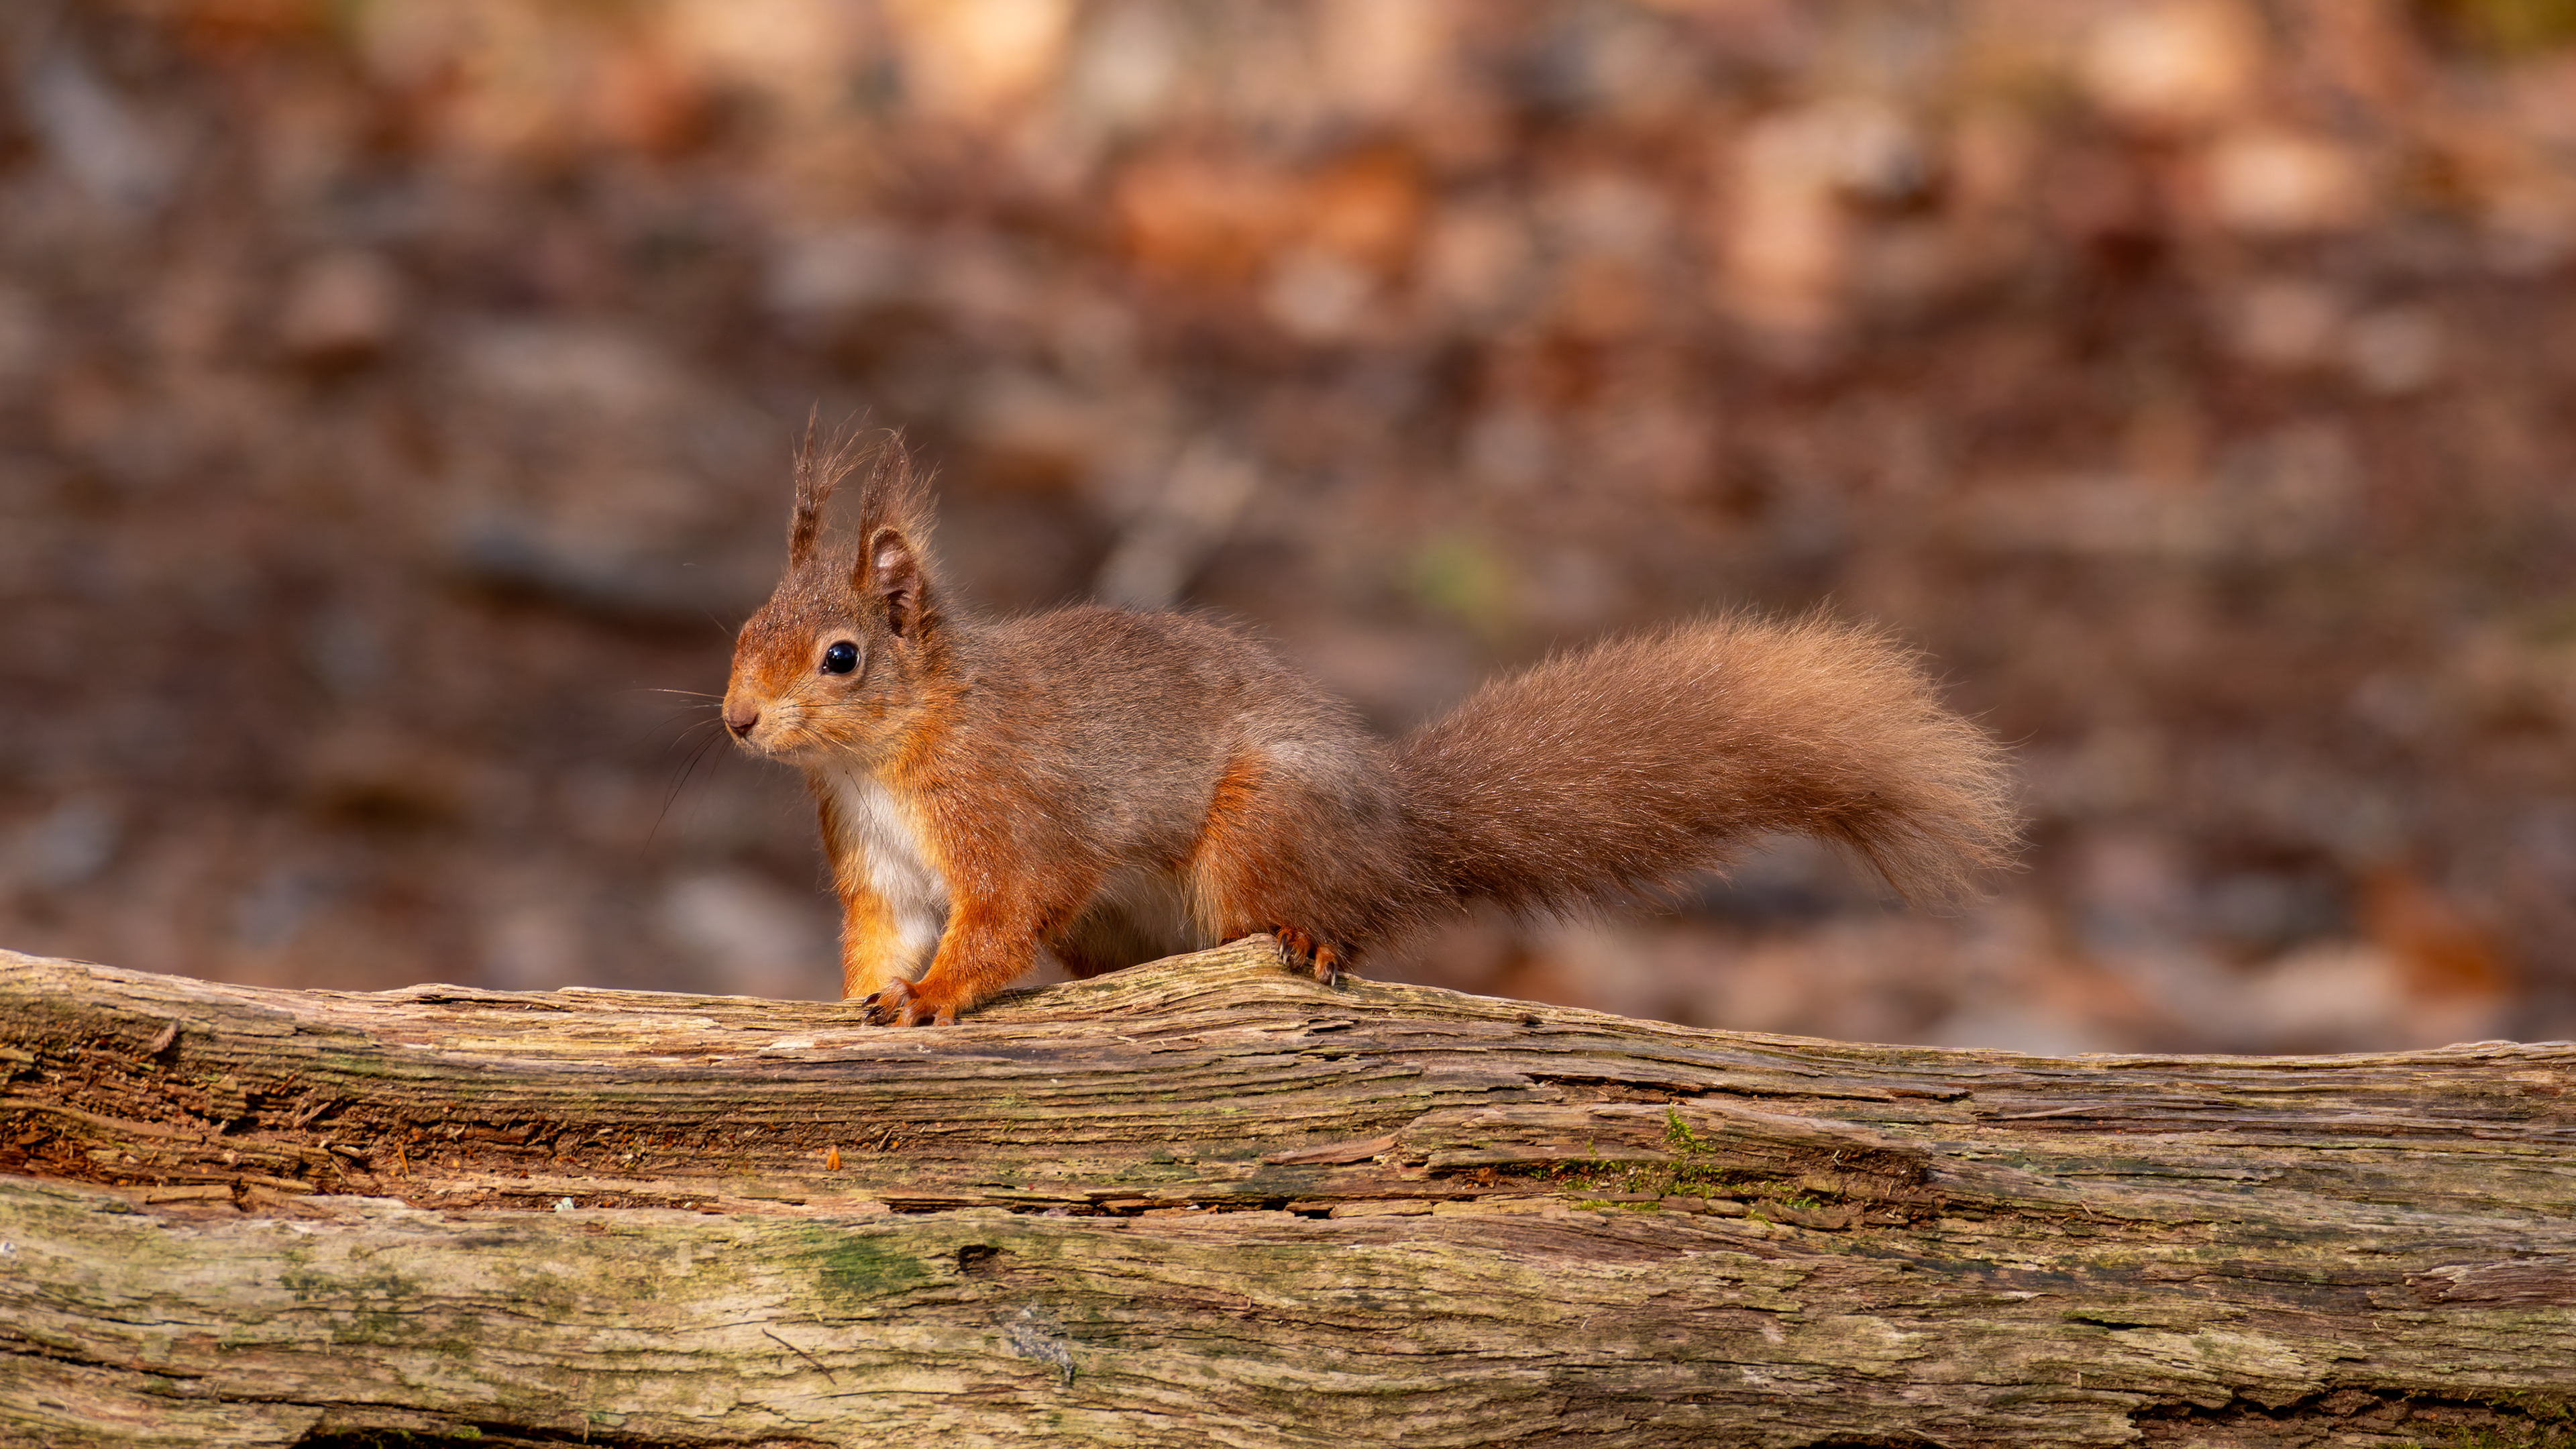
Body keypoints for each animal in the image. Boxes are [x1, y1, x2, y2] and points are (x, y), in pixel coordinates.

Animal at [721, 432, 2017, 1025]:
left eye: (841, 657)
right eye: (742, 630)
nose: (736, 721)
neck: (886, 756)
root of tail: (1396, 827)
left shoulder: (1009, 819)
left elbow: (998, 919)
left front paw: (932, 999)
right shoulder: (883, 865)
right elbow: (885, 936)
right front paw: (854, 1003)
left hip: (1262, 828)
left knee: (1325, 917)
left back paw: (1313, 937)